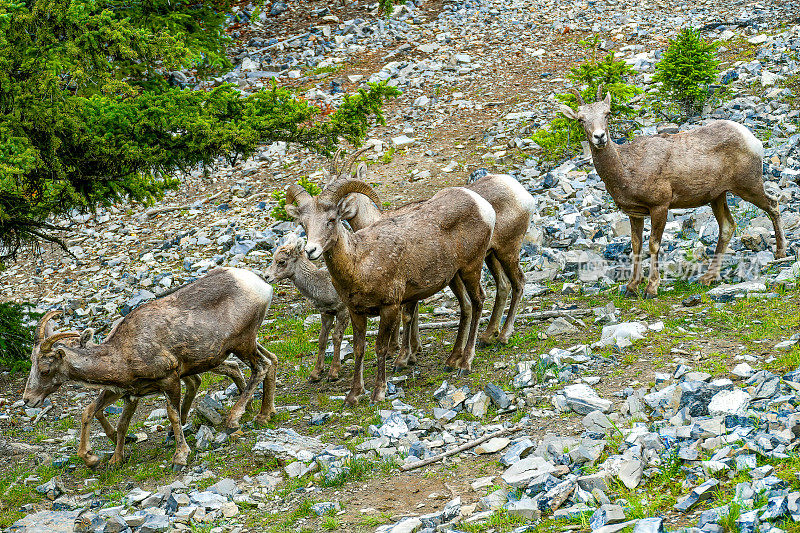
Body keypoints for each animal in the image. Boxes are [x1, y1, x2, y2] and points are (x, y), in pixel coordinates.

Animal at [22, 268, 278, 468]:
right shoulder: (128, 393)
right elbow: (102, 416)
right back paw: (264, 414)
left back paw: (234, 419)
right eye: (32, 365)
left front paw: (180, 456)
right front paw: (104, 460)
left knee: (261, 366)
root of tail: (260, 285)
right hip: (246, 344)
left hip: (243, 343)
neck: (123, 353)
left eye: (45, 370)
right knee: (272, 360)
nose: (28, 400)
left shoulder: (169, 379)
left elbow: (172, 415)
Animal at [264, 235, 348, 380]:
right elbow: (322, 339)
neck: (325, 286)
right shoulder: (326, 313)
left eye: (281, 261)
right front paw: (316, 373)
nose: (266, 276)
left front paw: (333, 372)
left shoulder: (343, 311)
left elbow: (337, 337)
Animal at [284, 179, 496, 404]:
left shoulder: (390, 308)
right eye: (303, 224)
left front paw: (379, 392)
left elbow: (381, 348)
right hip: (454, 276)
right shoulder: (356, 312)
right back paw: (451, 361)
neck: (359, 263)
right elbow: (359, 349)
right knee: (466, 306)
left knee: (478, 301)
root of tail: (482, 205)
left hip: (471, 267)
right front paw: (353, 395)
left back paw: (465, 364)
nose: (311, 250)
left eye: (331, 220)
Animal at [560, 87, 784, 296]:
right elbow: (636, 245)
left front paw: (651, 288)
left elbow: (653, 245)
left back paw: (780, 253)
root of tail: (752, 139)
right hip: (718, 196)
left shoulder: (660, 206)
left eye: (607, 113)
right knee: (728, 226)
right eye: (581, 119)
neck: (626, 169)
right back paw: (707, 278)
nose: (599, 137)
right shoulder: (635, 213)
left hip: (748, 186)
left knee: (772, 205)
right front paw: (632, 287)